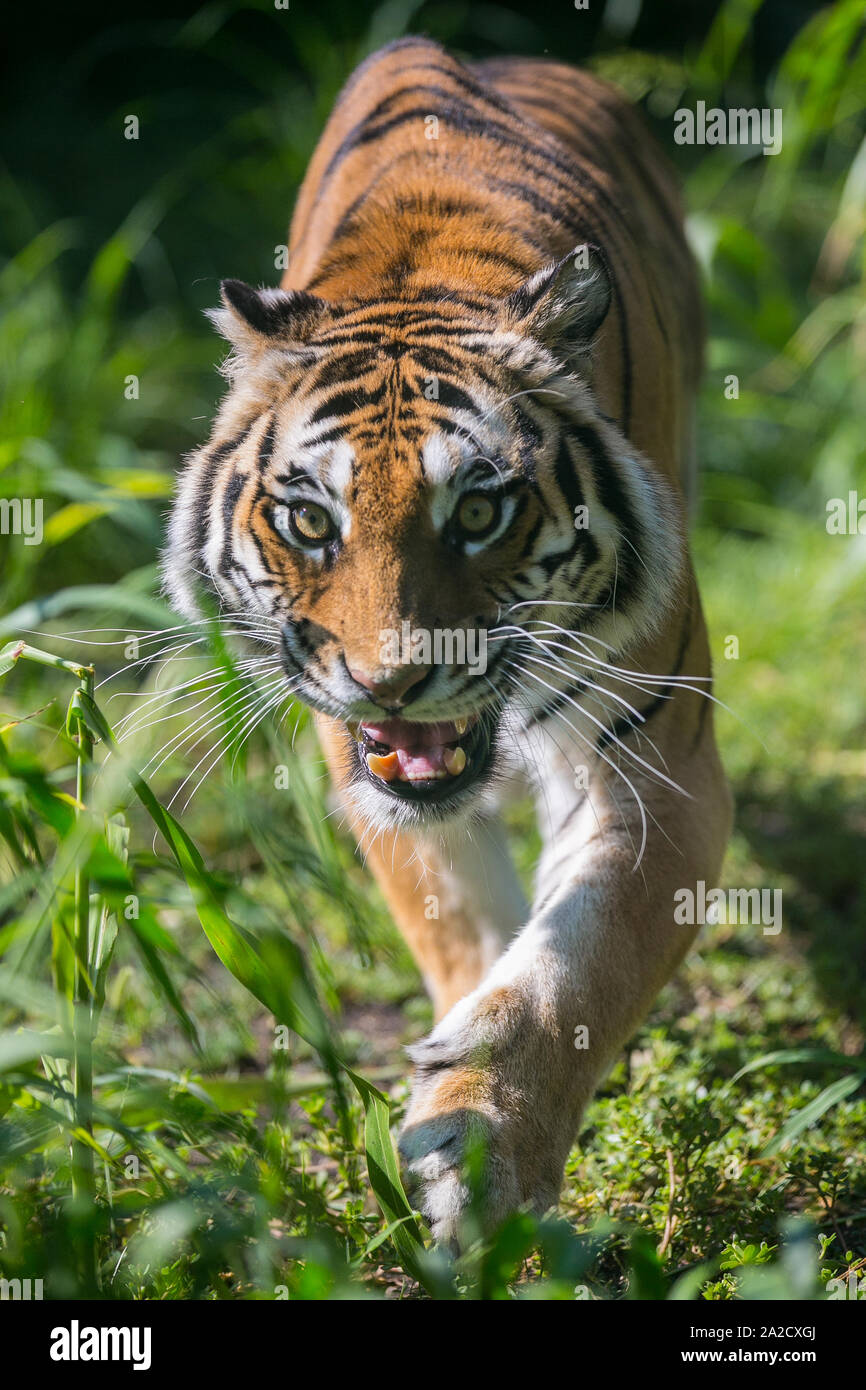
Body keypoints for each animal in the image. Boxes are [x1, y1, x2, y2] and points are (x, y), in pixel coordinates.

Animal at [164, 36, 732, 1246]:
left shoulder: (659, 766)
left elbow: (576, 965)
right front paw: (453, 1115)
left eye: (476, 510)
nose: (392, 682)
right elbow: (464, 923)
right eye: (310, 521)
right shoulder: (357, 755)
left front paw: (481, 1145)